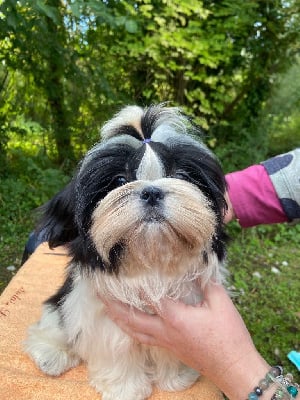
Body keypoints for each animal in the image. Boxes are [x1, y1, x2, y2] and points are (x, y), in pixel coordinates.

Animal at [24, 104, 227, 400]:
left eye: (181, 176)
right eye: (119, 180)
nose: (152, 192)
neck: (150, 264)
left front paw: (177, 379)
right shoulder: (105, 320)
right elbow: (117, 349)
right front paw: (125, 389)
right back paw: (53, 353)